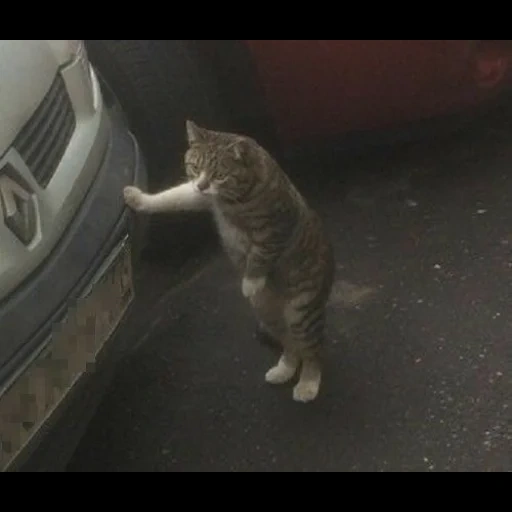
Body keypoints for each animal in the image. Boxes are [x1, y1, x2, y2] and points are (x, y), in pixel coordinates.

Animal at [122, 121, 334, 404]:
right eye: (196, 167)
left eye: (220, 175)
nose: (202, 185)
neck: (236, 197)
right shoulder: (200, 196)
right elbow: (172, 197)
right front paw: (139, 199)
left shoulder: (276, 227)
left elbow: (260, 254)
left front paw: (251, 281)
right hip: (269, 314)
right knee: (291, 346)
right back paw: (284, 369)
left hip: (302, 312)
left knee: (312, 352)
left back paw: (308, 383)